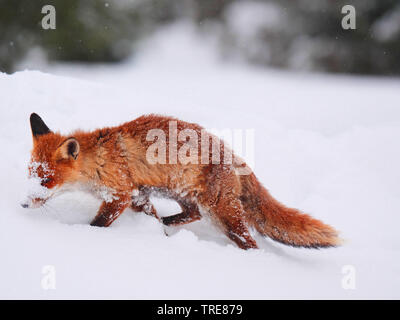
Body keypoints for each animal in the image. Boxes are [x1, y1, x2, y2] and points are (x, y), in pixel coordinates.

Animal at [22, 112, 340, 250]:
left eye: (46, 180)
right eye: (31, 175)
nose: (24, 204)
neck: (99, 160)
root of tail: (231, 153)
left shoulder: (121, 194)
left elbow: (98, 224)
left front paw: (87, 234)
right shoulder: (138, 194)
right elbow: (147, 212)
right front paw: (154, 228)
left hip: (223, 213)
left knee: (248, 239)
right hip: (182, 194)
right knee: (191, 213)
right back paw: (167, 224)